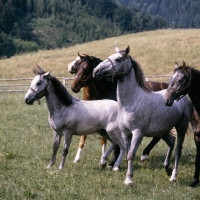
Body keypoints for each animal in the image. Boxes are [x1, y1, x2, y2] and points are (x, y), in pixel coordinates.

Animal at [93, 46, 193, 185]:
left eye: (118, 59)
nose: (96, 71)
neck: (131, 101)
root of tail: (183, 97)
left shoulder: (138, 133)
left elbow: (130, 155)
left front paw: (129, 180)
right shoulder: (126, 134)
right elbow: (127, 153)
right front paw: (126, 177)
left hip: (181, 126)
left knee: (178, 149)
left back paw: (173, 175)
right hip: (162, 130)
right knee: (171, 142)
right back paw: (167, 169)